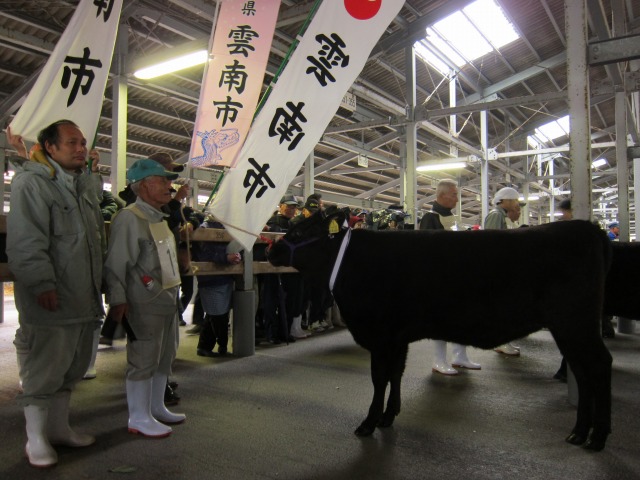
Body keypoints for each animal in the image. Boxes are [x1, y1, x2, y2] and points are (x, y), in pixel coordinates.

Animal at [268, 210, 612, 450]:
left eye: (299, 231)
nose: (271, 249)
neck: (349, 261)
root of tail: (588, 228)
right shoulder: (397, 338)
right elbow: (396, 374)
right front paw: (389, 417)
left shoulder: (380, 336)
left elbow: (380, 378)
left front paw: (369, 423)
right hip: (567, 328)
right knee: (582, 371)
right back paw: (578, 433)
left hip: (576, 323)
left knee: (599, 365)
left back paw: (597, 437)